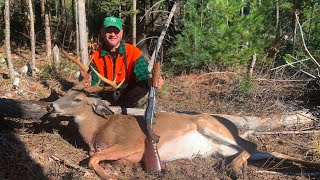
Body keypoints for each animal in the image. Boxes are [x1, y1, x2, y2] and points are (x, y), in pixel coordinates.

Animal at [47, 50, 320, 179]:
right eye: (64, 93)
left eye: (78, 99)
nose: (51, 107)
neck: (97, 131)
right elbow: (94, 156)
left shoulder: (132, 143)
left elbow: (92, 158)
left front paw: (108, 174)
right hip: (224, 145)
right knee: (265, 151)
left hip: (210, 124)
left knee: (250, 143)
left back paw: (233, 168)